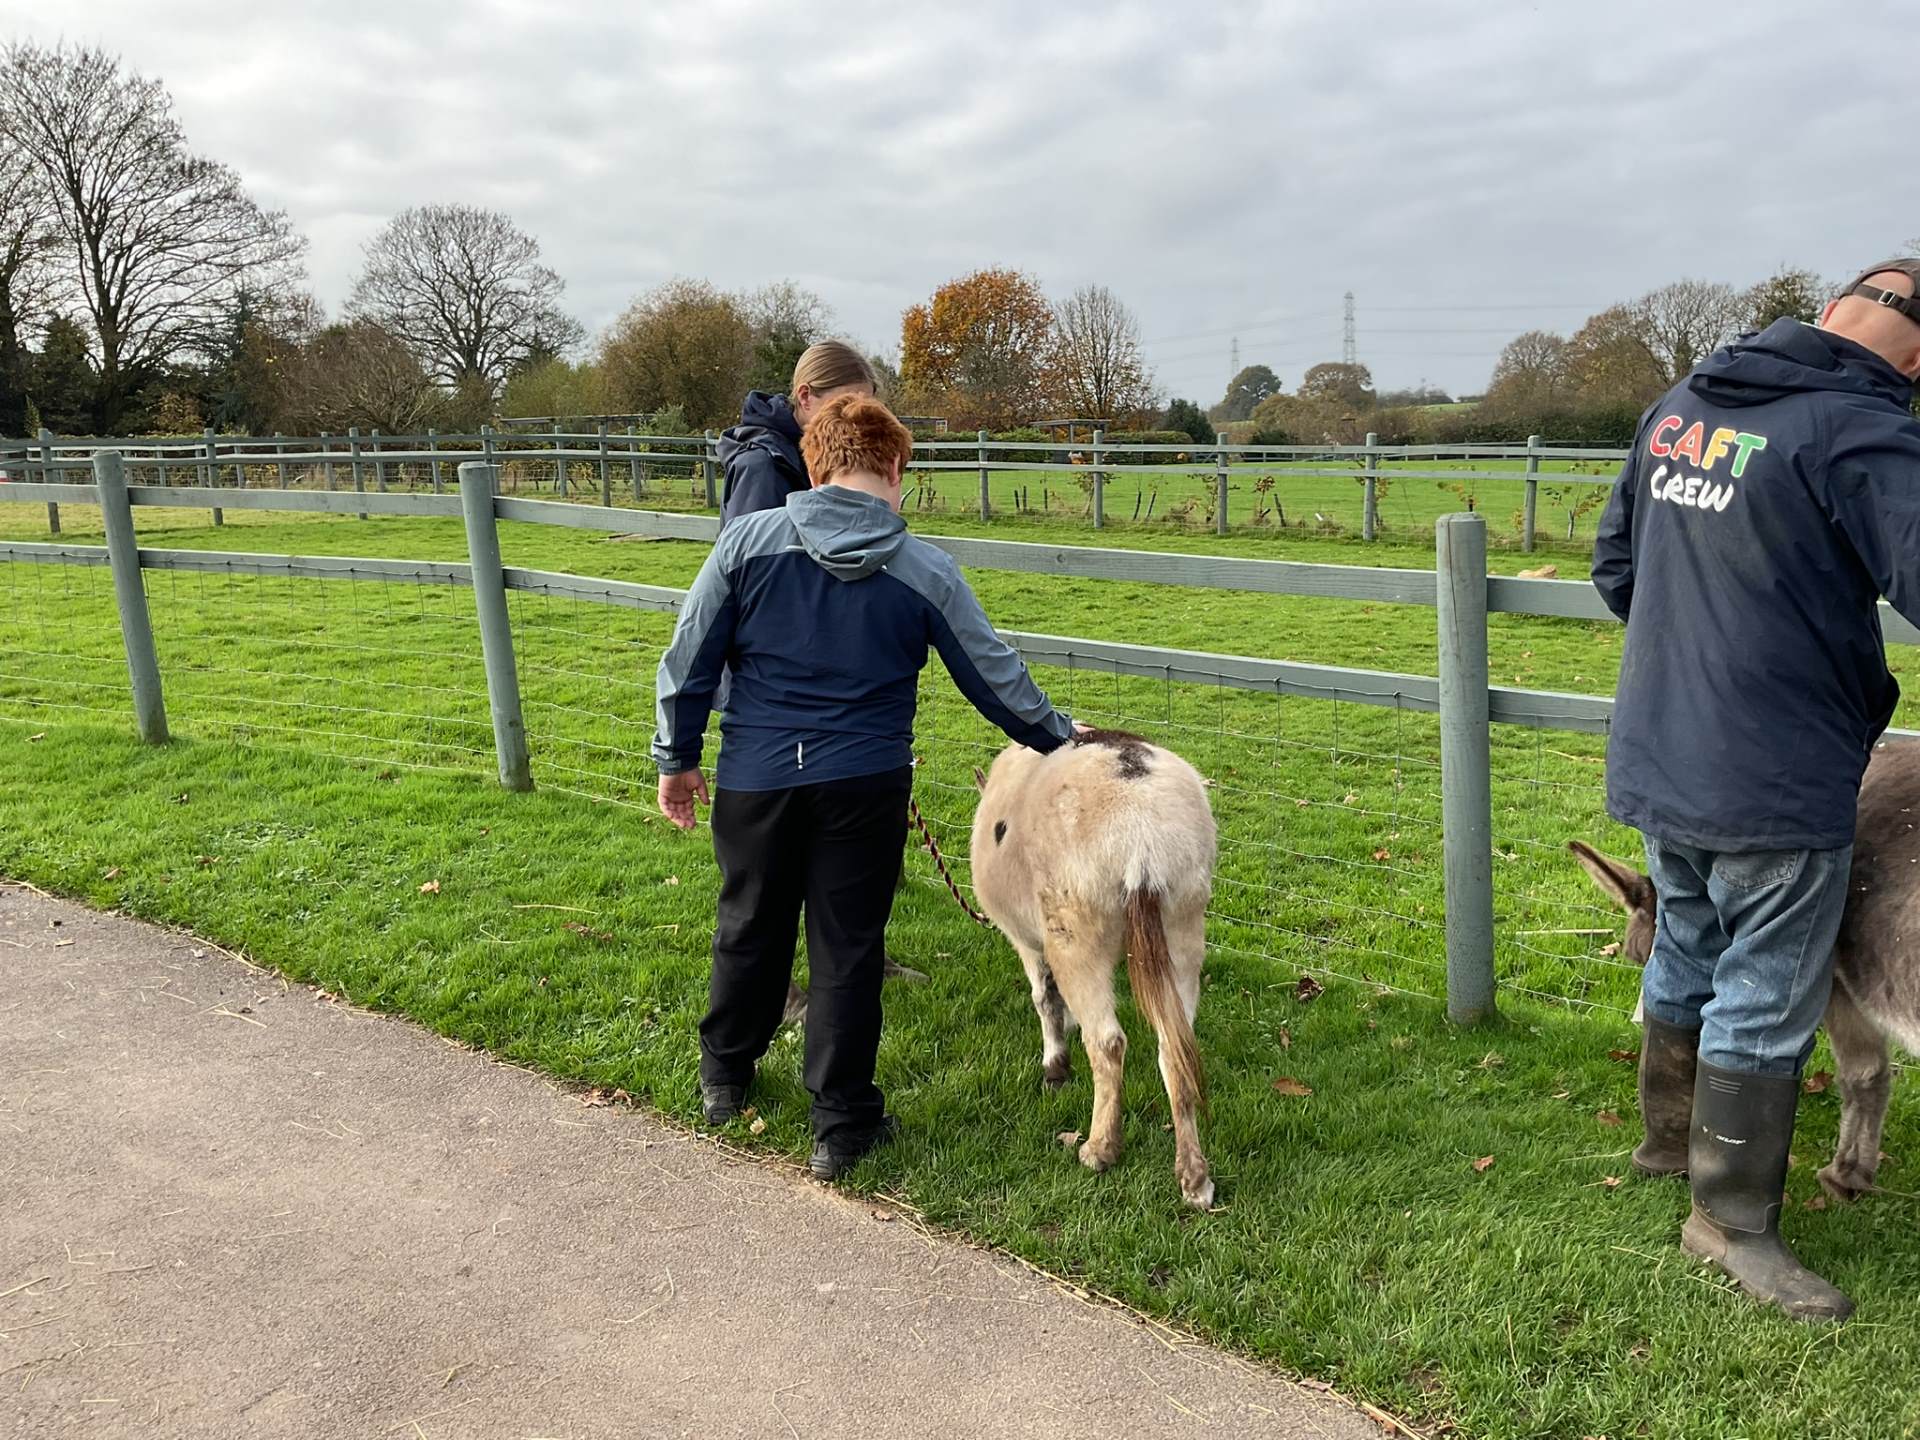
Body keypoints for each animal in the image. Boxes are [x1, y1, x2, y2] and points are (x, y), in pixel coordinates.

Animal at [968, 730, 1219, 1208]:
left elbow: (1045, 998)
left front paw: (1055, 1067)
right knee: (1174, 1046)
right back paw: (1194, 1179)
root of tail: (1141, 834)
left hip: (1075, 931)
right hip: (1183, 922)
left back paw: (1100, 1149)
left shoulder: (1028, 940)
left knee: (1107, 1042)